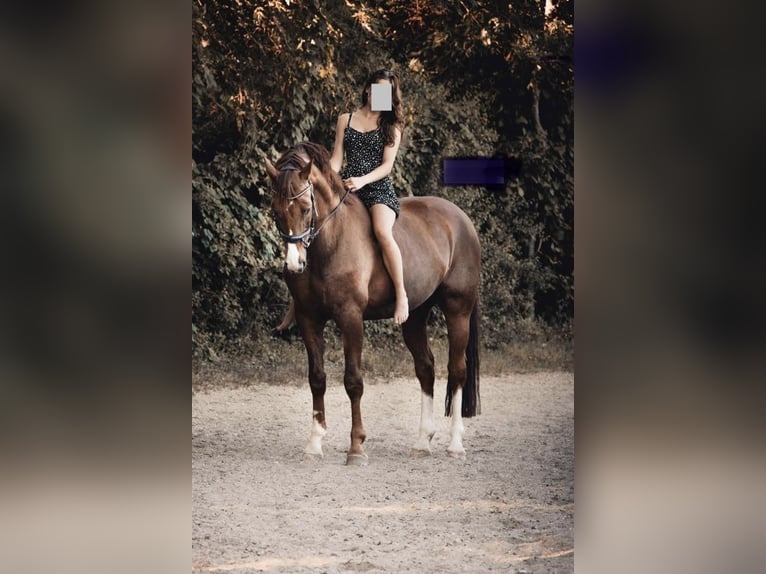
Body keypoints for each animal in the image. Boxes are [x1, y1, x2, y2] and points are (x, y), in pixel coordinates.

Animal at [264, 141, 481, 465]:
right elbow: (317, 378)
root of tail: (461, 219)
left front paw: (356, 447)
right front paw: (314, 443)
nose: (294, 264)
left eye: (305, 208)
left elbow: (353, 381)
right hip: (415, 317)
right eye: (276, 212)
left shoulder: (350, 317)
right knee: (425, 369)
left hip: (458, 310)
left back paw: (455, 444)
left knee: (457, 371)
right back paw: (422, 441)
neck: (330, 242)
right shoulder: (308, 319)